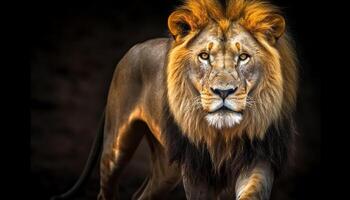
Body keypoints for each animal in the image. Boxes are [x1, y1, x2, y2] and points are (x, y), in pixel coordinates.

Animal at [52, 0, 298, 200]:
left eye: (244, 57)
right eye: (204, 56)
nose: (223, 91)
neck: (223, 134)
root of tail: (134, 48)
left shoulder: (259, 157)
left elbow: (252, 191)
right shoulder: (195, 168)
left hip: (166, 167)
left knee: (142, 195)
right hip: (116, 146)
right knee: (106, 189)